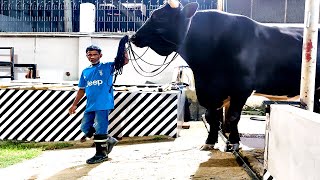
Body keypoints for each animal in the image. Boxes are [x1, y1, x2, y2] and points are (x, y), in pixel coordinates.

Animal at [129, 0, 320, 150]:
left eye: (160, 17)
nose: (134, 37)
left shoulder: (241, 89)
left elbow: (233, 116)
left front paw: (234, 142)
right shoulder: (208, 89)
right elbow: (211, 117)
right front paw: (210, 141)